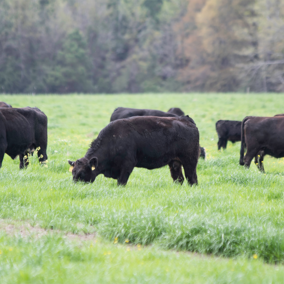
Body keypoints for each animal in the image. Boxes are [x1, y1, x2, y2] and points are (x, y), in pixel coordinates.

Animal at [68, 115, 199, 186]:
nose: (75, 186)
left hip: (190, 161)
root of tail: (185, 119)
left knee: (192, 178)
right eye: (73, 172)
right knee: (179, 179)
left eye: (82, 173)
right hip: (174, 163)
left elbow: (121, 183)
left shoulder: (127, 165)